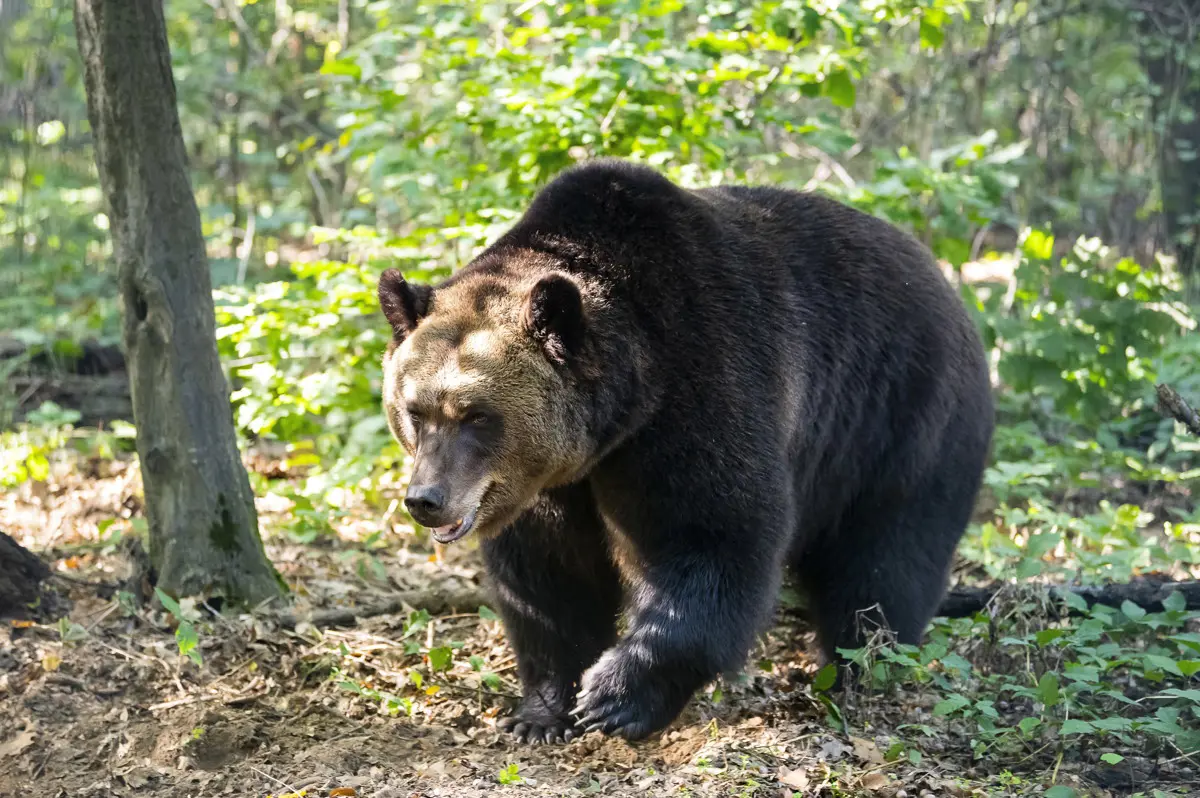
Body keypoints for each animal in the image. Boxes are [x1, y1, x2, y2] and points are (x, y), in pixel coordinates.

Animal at [374, 158, 993, 744]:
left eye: (477, 416)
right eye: (415, 411)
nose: (426, 499)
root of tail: (951, 291)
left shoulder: (697, 392)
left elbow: (714, 534)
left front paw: (616, 696)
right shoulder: (551, 486)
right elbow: (550, 579)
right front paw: (541, 713)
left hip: (901, 420)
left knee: (887, 557)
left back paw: (857, 666)